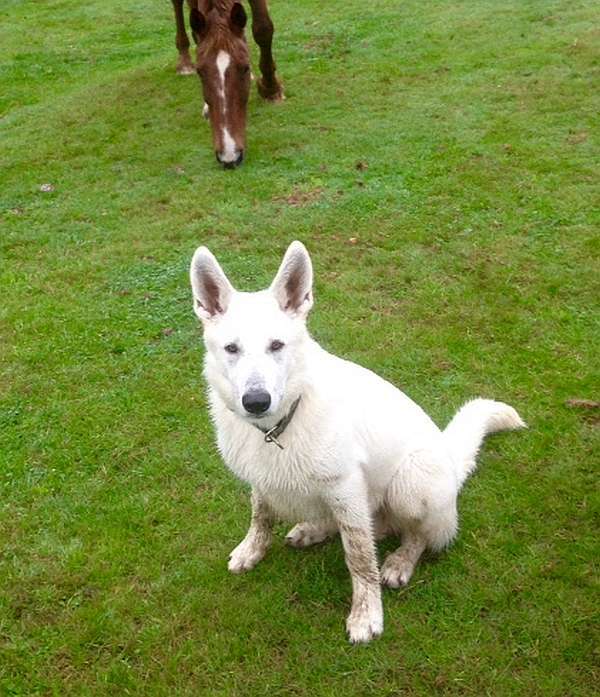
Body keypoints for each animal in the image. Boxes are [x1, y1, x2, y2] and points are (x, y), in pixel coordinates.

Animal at [171, 0, 284, 167]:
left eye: (245, 68)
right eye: (200, 72)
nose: (229, 156)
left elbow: (262, 29)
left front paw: (271, 89)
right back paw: (184, 62)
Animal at [190, 241, 524, 640]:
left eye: (276, 345)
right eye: (231, 349)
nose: (256, 402)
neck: (281, 424)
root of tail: (450, 458)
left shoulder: (346, 490)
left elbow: (360, 558)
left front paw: (367, 614)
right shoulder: (263, 480)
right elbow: (261, 516)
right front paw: (252, 550)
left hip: (409, 484)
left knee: (419, 535)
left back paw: (400, 561)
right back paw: (312, 530)